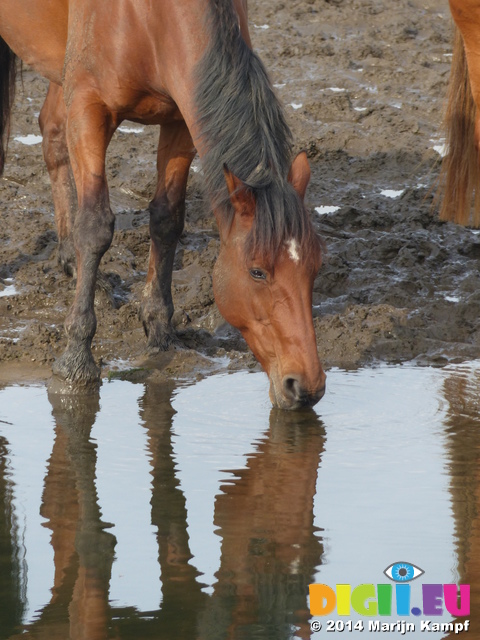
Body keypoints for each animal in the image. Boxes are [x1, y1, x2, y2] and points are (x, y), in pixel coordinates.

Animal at [0, 1, 326, 410]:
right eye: (257, 272)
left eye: (316, 267)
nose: (306, 387)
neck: (149, 18)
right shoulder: (90, 109)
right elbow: (95, 227)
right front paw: (75, 361)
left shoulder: (181, 117)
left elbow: (167, 218)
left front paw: (160, 332)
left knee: (52, 131)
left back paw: (70, 260)